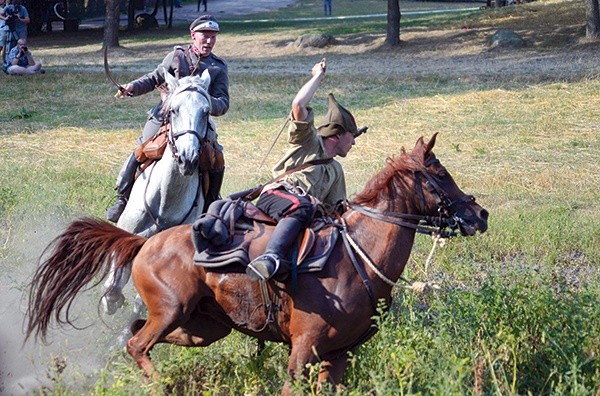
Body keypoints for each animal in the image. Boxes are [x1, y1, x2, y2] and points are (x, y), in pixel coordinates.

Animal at [25, 135, 490, 394]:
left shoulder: (337, 356)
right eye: (440, 173)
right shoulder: (303, 349)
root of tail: (143, 242)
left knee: (134, 335)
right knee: (139, 344)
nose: (479, 214)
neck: (357, 254)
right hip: (173, 310)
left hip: (201, 327)